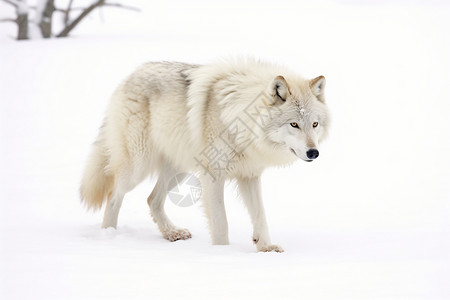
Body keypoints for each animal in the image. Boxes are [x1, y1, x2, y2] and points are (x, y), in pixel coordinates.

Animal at [79, 58, 328, 251]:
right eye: (294, 124)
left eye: (315, 124)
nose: (313, 152)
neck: (240, 122)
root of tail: (130, 76)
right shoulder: (213, 177)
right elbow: (221, 223)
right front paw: (221, 254)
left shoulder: (249, 176)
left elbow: (260, 215)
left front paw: (266, 247)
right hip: (138, 167)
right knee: (113, 195)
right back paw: (109, 234)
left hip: (179, 168)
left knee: (152, 199)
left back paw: (172, 233)